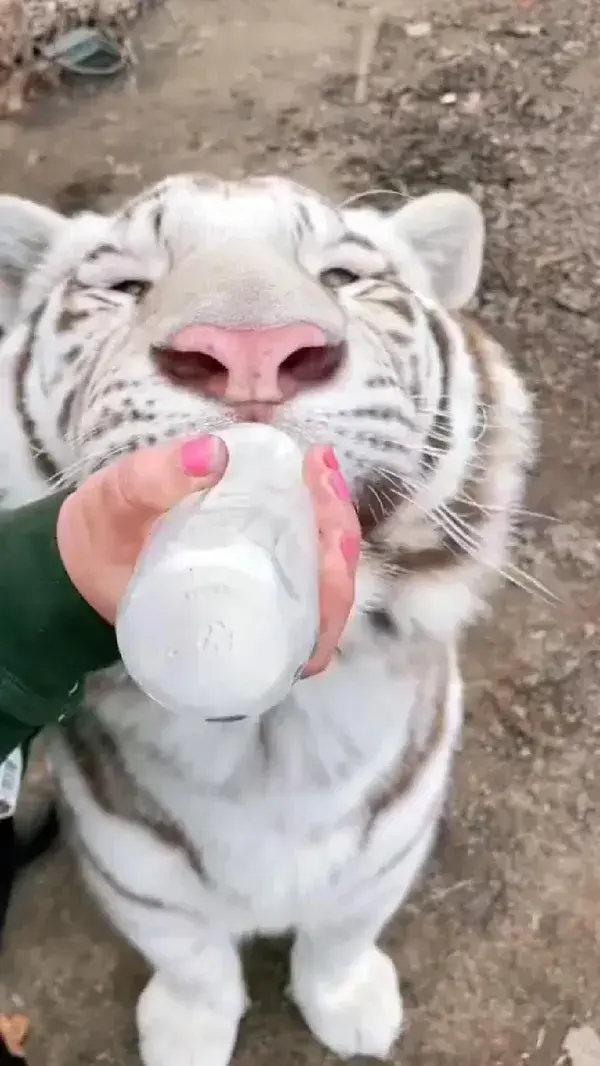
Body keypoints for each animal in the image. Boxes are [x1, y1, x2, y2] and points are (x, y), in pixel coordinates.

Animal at [0, 176, 534, 1066]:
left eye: (343, 276)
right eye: (127, 286)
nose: (252, 351)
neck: (270, 733)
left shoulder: (391, 846)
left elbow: (341, 936)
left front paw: (350, 1009)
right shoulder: (131, 866)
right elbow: (192, 960)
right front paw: (187, 1033)